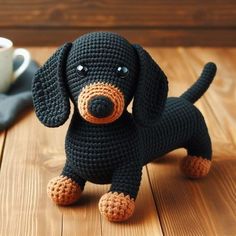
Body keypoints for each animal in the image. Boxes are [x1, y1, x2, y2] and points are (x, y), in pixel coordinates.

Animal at [32, 30, 217, 221]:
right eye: (80, 69)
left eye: (123, 71)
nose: (100, 104)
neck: (98, 131)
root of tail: (184, 100)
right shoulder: (73, 163)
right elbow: (69, 174)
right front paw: (62, 185)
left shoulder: (129, 166)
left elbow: (125, 184)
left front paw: (116, 202)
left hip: (199, 135)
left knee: (203, 147)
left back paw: (197, 164)